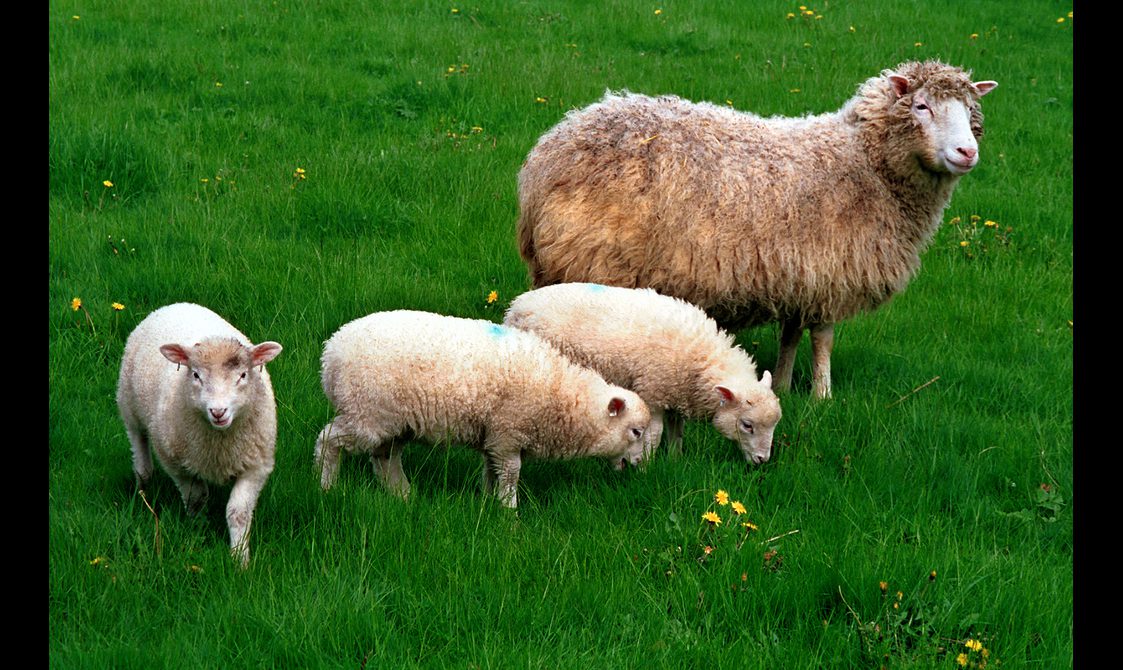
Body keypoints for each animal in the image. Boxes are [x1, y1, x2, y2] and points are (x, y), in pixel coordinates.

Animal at [116, 303, 283, 568]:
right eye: (195, 375)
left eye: (243, 375)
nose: (218, 411)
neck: (220, 443)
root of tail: (177, 304)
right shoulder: (176, 464)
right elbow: (196, 498)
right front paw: (195, 531)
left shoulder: (256, 465)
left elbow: (238, 512)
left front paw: (240, 559)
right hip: (128, 406)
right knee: (139, 448)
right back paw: (143, 488)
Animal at [314, 310, 651, 508]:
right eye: (635, 431)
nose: (639, 467)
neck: (564, 397)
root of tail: (330, 354)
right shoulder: (508, 433)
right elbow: (511, 474)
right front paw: (510, 512)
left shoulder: (494, 438)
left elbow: (491, 470)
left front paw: (488, 500)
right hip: (365, 413)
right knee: (329, 439)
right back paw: (326, 485)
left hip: (393, 422)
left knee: (385, 458)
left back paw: (404, 495)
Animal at [504, 283, 782, 464]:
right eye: (747, 425)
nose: (762, 460)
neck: (699, 357)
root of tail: (516, 306)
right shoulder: (654, 392)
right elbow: (654, 436)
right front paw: (647, 466)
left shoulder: (675, 394)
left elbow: (676, 431)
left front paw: (675, 459)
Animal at [516, 60, 998, 399]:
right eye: (921, 106)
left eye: (970, 111)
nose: (967, 152)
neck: (864, 162)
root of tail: (546, 157)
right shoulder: (832, 271)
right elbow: (823, 340)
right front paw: (823, 396)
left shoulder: (799, 277)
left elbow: (791, 334)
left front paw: (783, 384)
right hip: (592, 264)